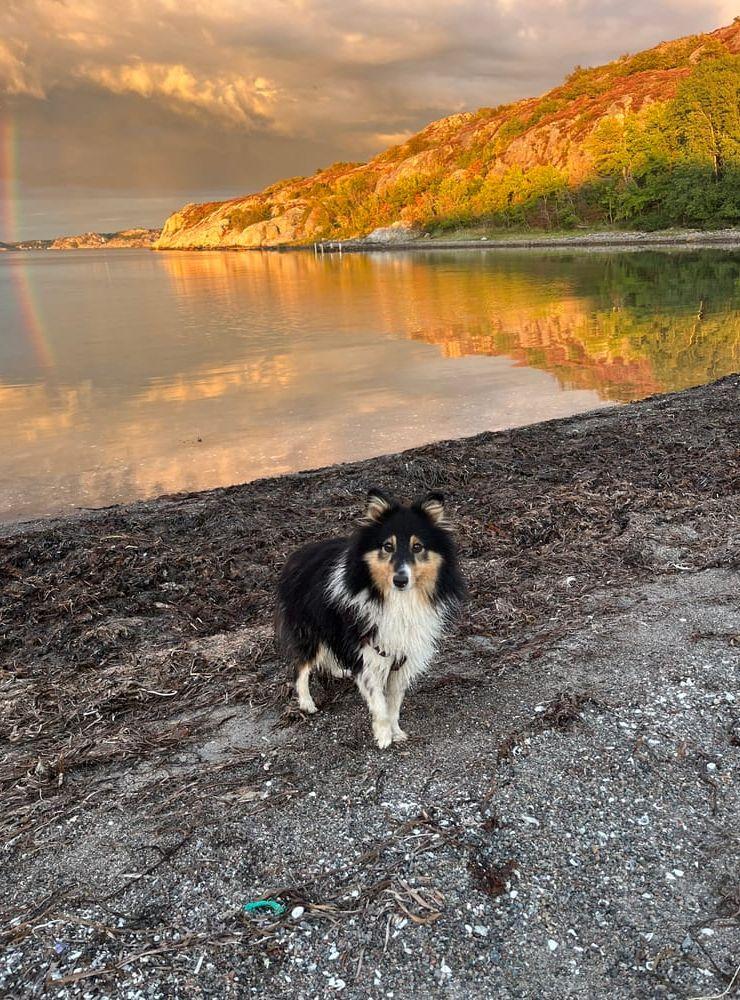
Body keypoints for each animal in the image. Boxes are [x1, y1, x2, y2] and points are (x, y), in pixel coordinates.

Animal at [274, 488, 466, 748]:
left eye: (417, 547)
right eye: (387, 546)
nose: (400, 580)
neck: (397, 600)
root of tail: (295, 556)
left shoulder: (402, 658)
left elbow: (394, 704)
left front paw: (397, 732)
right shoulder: (370, 654)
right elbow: (380, 704)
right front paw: (383, 737)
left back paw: (339, 671)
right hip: (310, 630)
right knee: (300, 667)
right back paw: (307, 703)